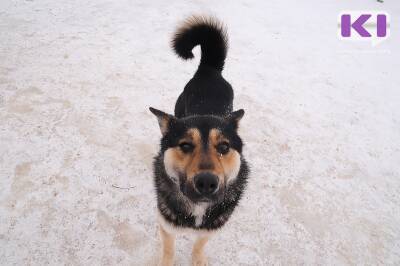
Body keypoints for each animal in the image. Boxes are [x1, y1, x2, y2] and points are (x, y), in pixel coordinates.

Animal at [150, 15, 250, 264]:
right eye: (185, 145)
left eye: (224, 146)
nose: (206, 182)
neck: (197, 209)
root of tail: (208, 70)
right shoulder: (166, 224)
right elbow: (168, 250)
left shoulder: (212, 228)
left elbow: (199, 245)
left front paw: (198, 259)